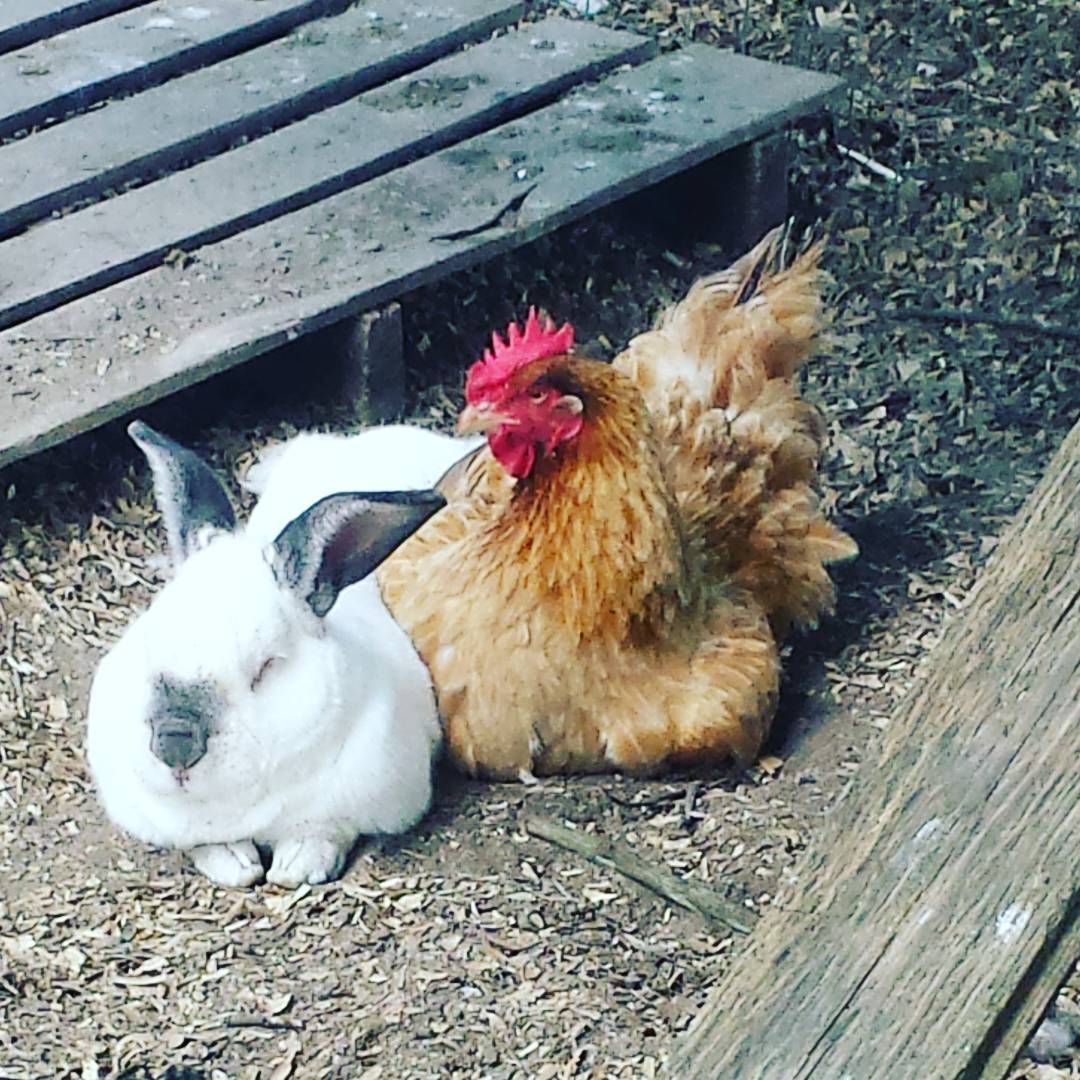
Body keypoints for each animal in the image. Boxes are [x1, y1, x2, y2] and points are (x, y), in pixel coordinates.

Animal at [86, 420, 470, 889]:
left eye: (266, 667)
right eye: (148, 638)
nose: (175, 742)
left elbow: (323, 831)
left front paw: (295, 867)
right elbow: (205, 845)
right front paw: (235, 865)